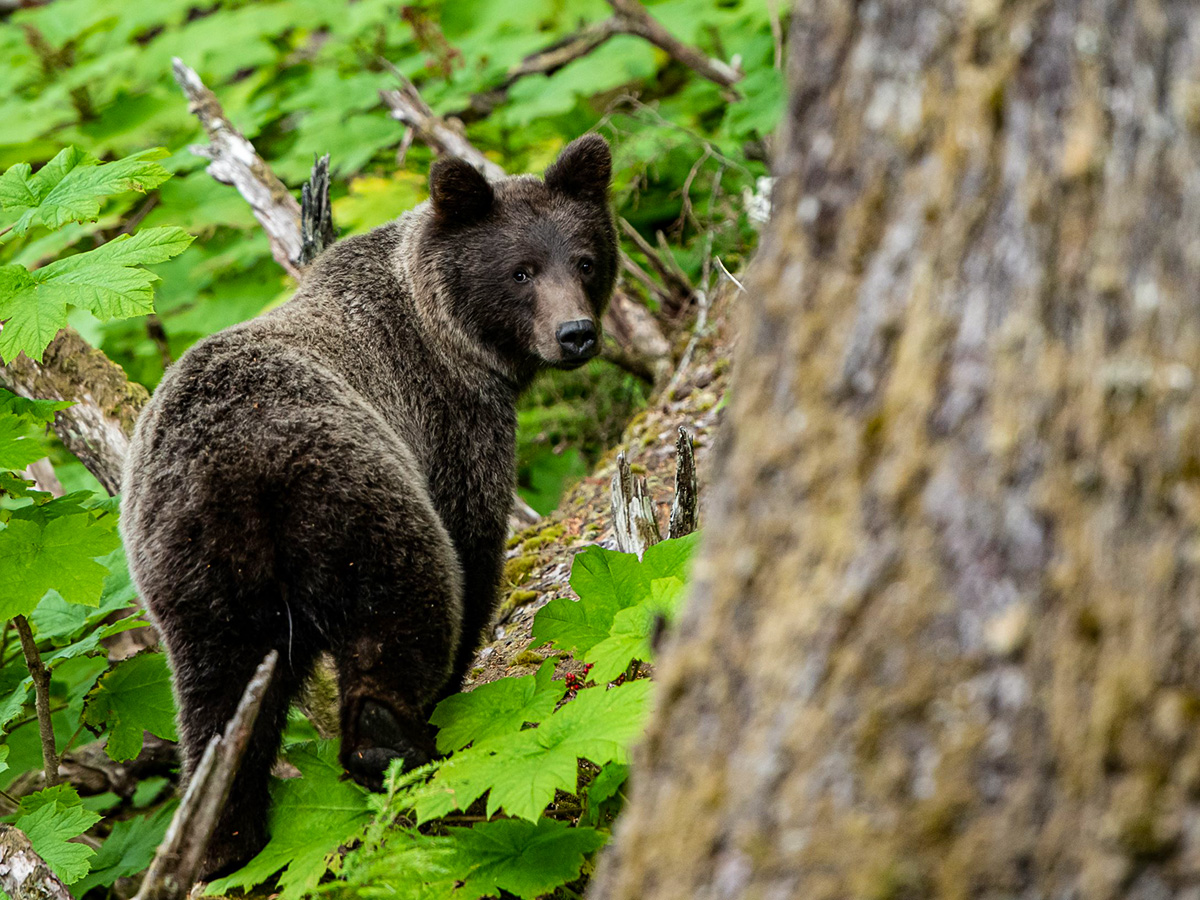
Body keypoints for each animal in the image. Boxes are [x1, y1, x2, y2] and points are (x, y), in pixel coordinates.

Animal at [119, 135, 619, 883]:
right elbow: (474, 551)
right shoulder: (453, 421)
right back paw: (390, 743)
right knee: (407, 612)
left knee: (217, 703)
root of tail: (238, 472)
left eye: (585, 259)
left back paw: (222, 839)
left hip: (191, 571)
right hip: (356, 497)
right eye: (522, 271)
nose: (576, 332)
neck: (449, 332)